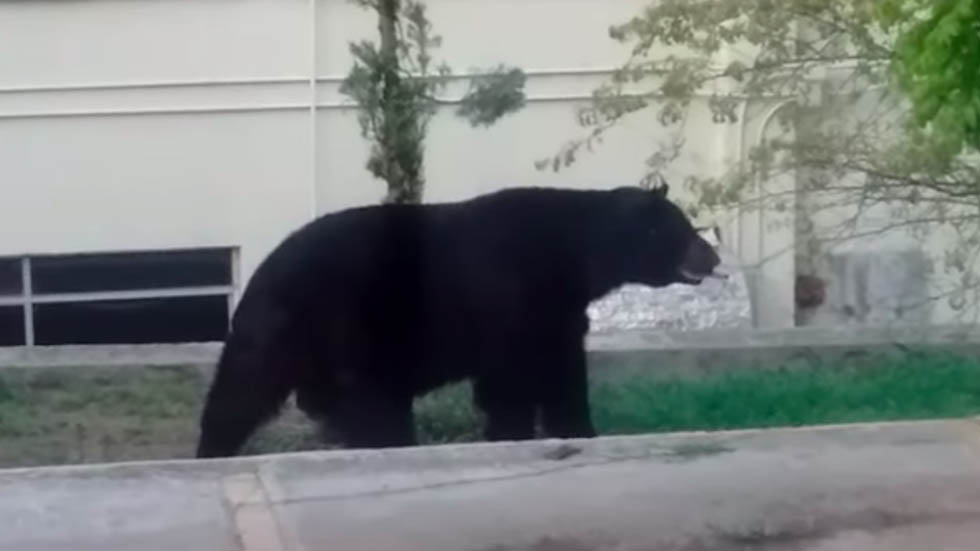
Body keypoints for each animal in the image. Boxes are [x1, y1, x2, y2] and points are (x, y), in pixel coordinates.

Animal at [195, 185, 721, 458]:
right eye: (683, 229)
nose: (713, 256)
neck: (574, 254)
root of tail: (263, 269)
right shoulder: (515, 298)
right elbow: (512, 381)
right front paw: (512, 434)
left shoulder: (557, 313)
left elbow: (562, 371)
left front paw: (578, 431)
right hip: (339, 324)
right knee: (252, 390)